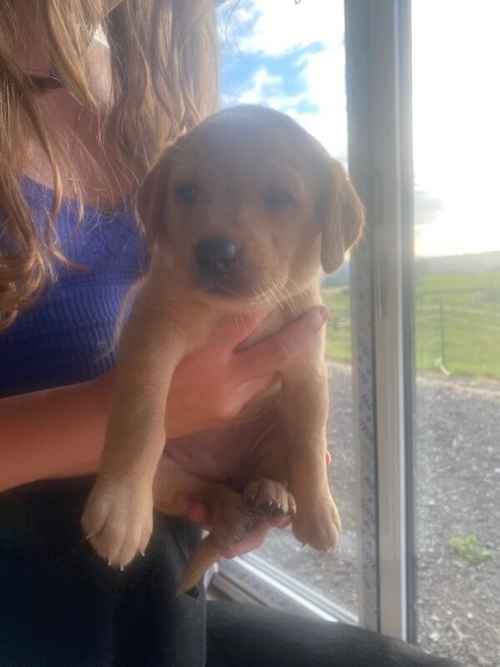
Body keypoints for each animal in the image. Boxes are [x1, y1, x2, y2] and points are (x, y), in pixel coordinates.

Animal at [81, 105, 364, 596]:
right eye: (187, 191)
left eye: (281, 197)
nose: (215, 251)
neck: (237, 312)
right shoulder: (150, 340)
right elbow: (140, 421)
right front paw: (121, 510)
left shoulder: (307, 365)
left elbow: (311, 441)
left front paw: (319, 511)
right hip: (170, 476)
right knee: (205, 494)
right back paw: (231, 514)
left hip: (271, 434)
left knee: (269, 466)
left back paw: (271, 494)